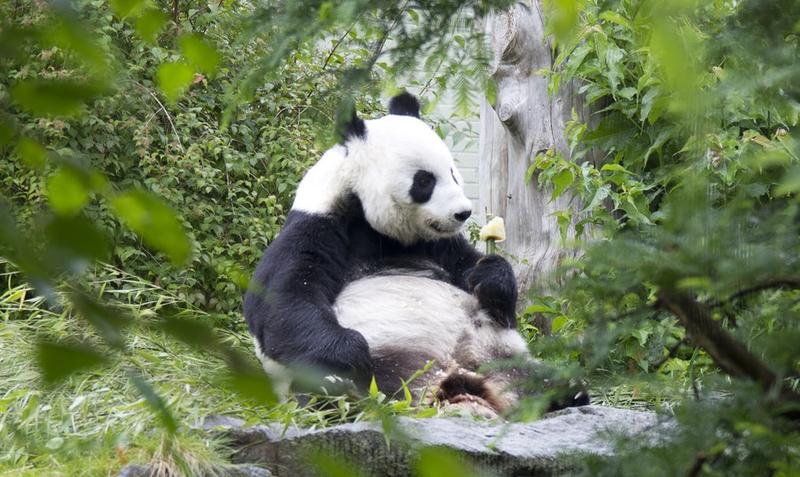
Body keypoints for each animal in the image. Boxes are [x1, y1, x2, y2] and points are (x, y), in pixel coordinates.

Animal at [244, 92, 587, 416]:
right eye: (424, 180)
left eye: (453, 172)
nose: (463, 212)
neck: (377, 225)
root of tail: (453, 383)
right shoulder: (319, 225)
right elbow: (281, 302)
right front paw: (352, 352)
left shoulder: (437, 244)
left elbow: (471, 269)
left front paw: (491, 277)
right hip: (383, 371)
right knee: (330, 390)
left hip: (498, 357)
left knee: (549, 379)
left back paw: (565, 396)